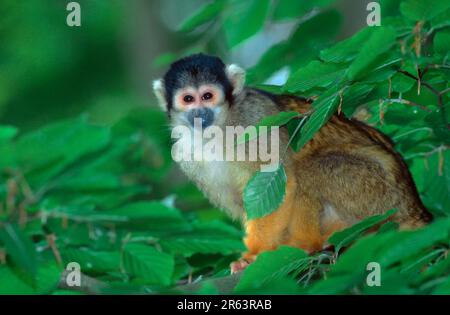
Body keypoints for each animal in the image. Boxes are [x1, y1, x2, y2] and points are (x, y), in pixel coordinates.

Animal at [155, 53, 432, 274]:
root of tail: (413, 206)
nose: (199, 113)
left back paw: (307, 243)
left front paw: (254, 254)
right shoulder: (184, 153)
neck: (219, 127)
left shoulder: (255, 121)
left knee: (309, 168)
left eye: (208, 96)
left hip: (379, 194)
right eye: (188, 99)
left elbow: (279, 181)